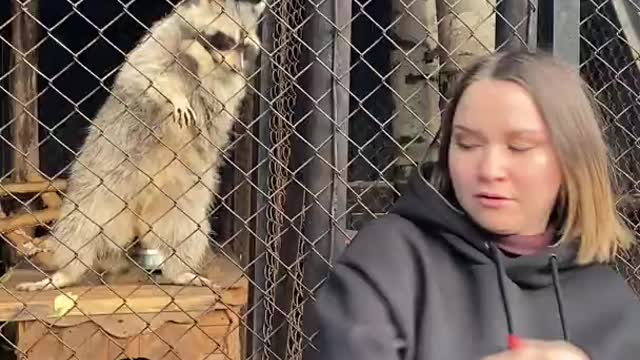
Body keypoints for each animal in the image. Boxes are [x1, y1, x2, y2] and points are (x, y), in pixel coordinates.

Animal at [17, 0, 266, 292]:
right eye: (226, 40)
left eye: (246, 47)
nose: (236, 67)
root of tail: (138, 217)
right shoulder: (159, 42)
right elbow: (147, 71)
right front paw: (178, 86)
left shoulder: (226, 87)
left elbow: (220, 96)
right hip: (101, 180)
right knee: (80, 227)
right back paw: (67, 271)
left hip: (182, 201)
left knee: (186, 232)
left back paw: (180, 272)